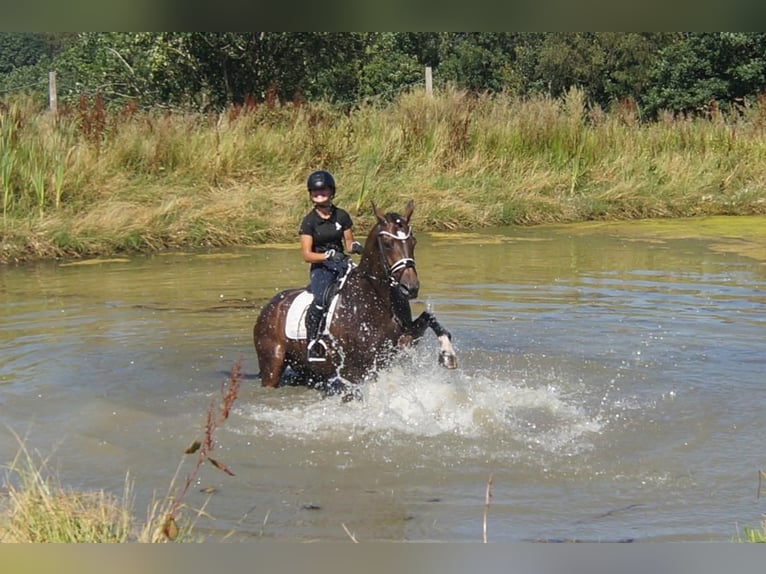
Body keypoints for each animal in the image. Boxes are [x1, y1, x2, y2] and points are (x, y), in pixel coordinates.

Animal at [253, 200, 457, 397]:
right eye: (388, 244)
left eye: (413, 242)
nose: (411, 288)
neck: (379, 298)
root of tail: (270, 306)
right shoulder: (355, 370)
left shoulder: (403, 341)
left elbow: (429, 317)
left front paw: (448, 354)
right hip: (272, 364)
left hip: (307, 369)